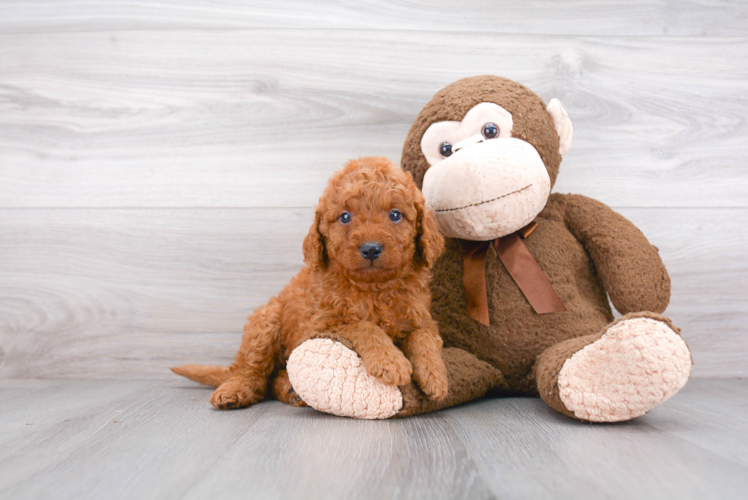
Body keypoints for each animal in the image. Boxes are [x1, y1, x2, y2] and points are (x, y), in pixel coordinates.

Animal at [172, 157, 448, 410]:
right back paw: (235, 390)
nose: (370, 249)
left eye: (395, 215)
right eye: (345, 217)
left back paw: (291, 391)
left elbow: (425, 336)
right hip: (265, 322)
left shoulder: (421, 317)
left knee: (274, 377)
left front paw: (435, 376)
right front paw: (390, 361)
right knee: (252, 371)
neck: (373, 288)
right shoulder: (318, 325)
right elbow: (362, 326)